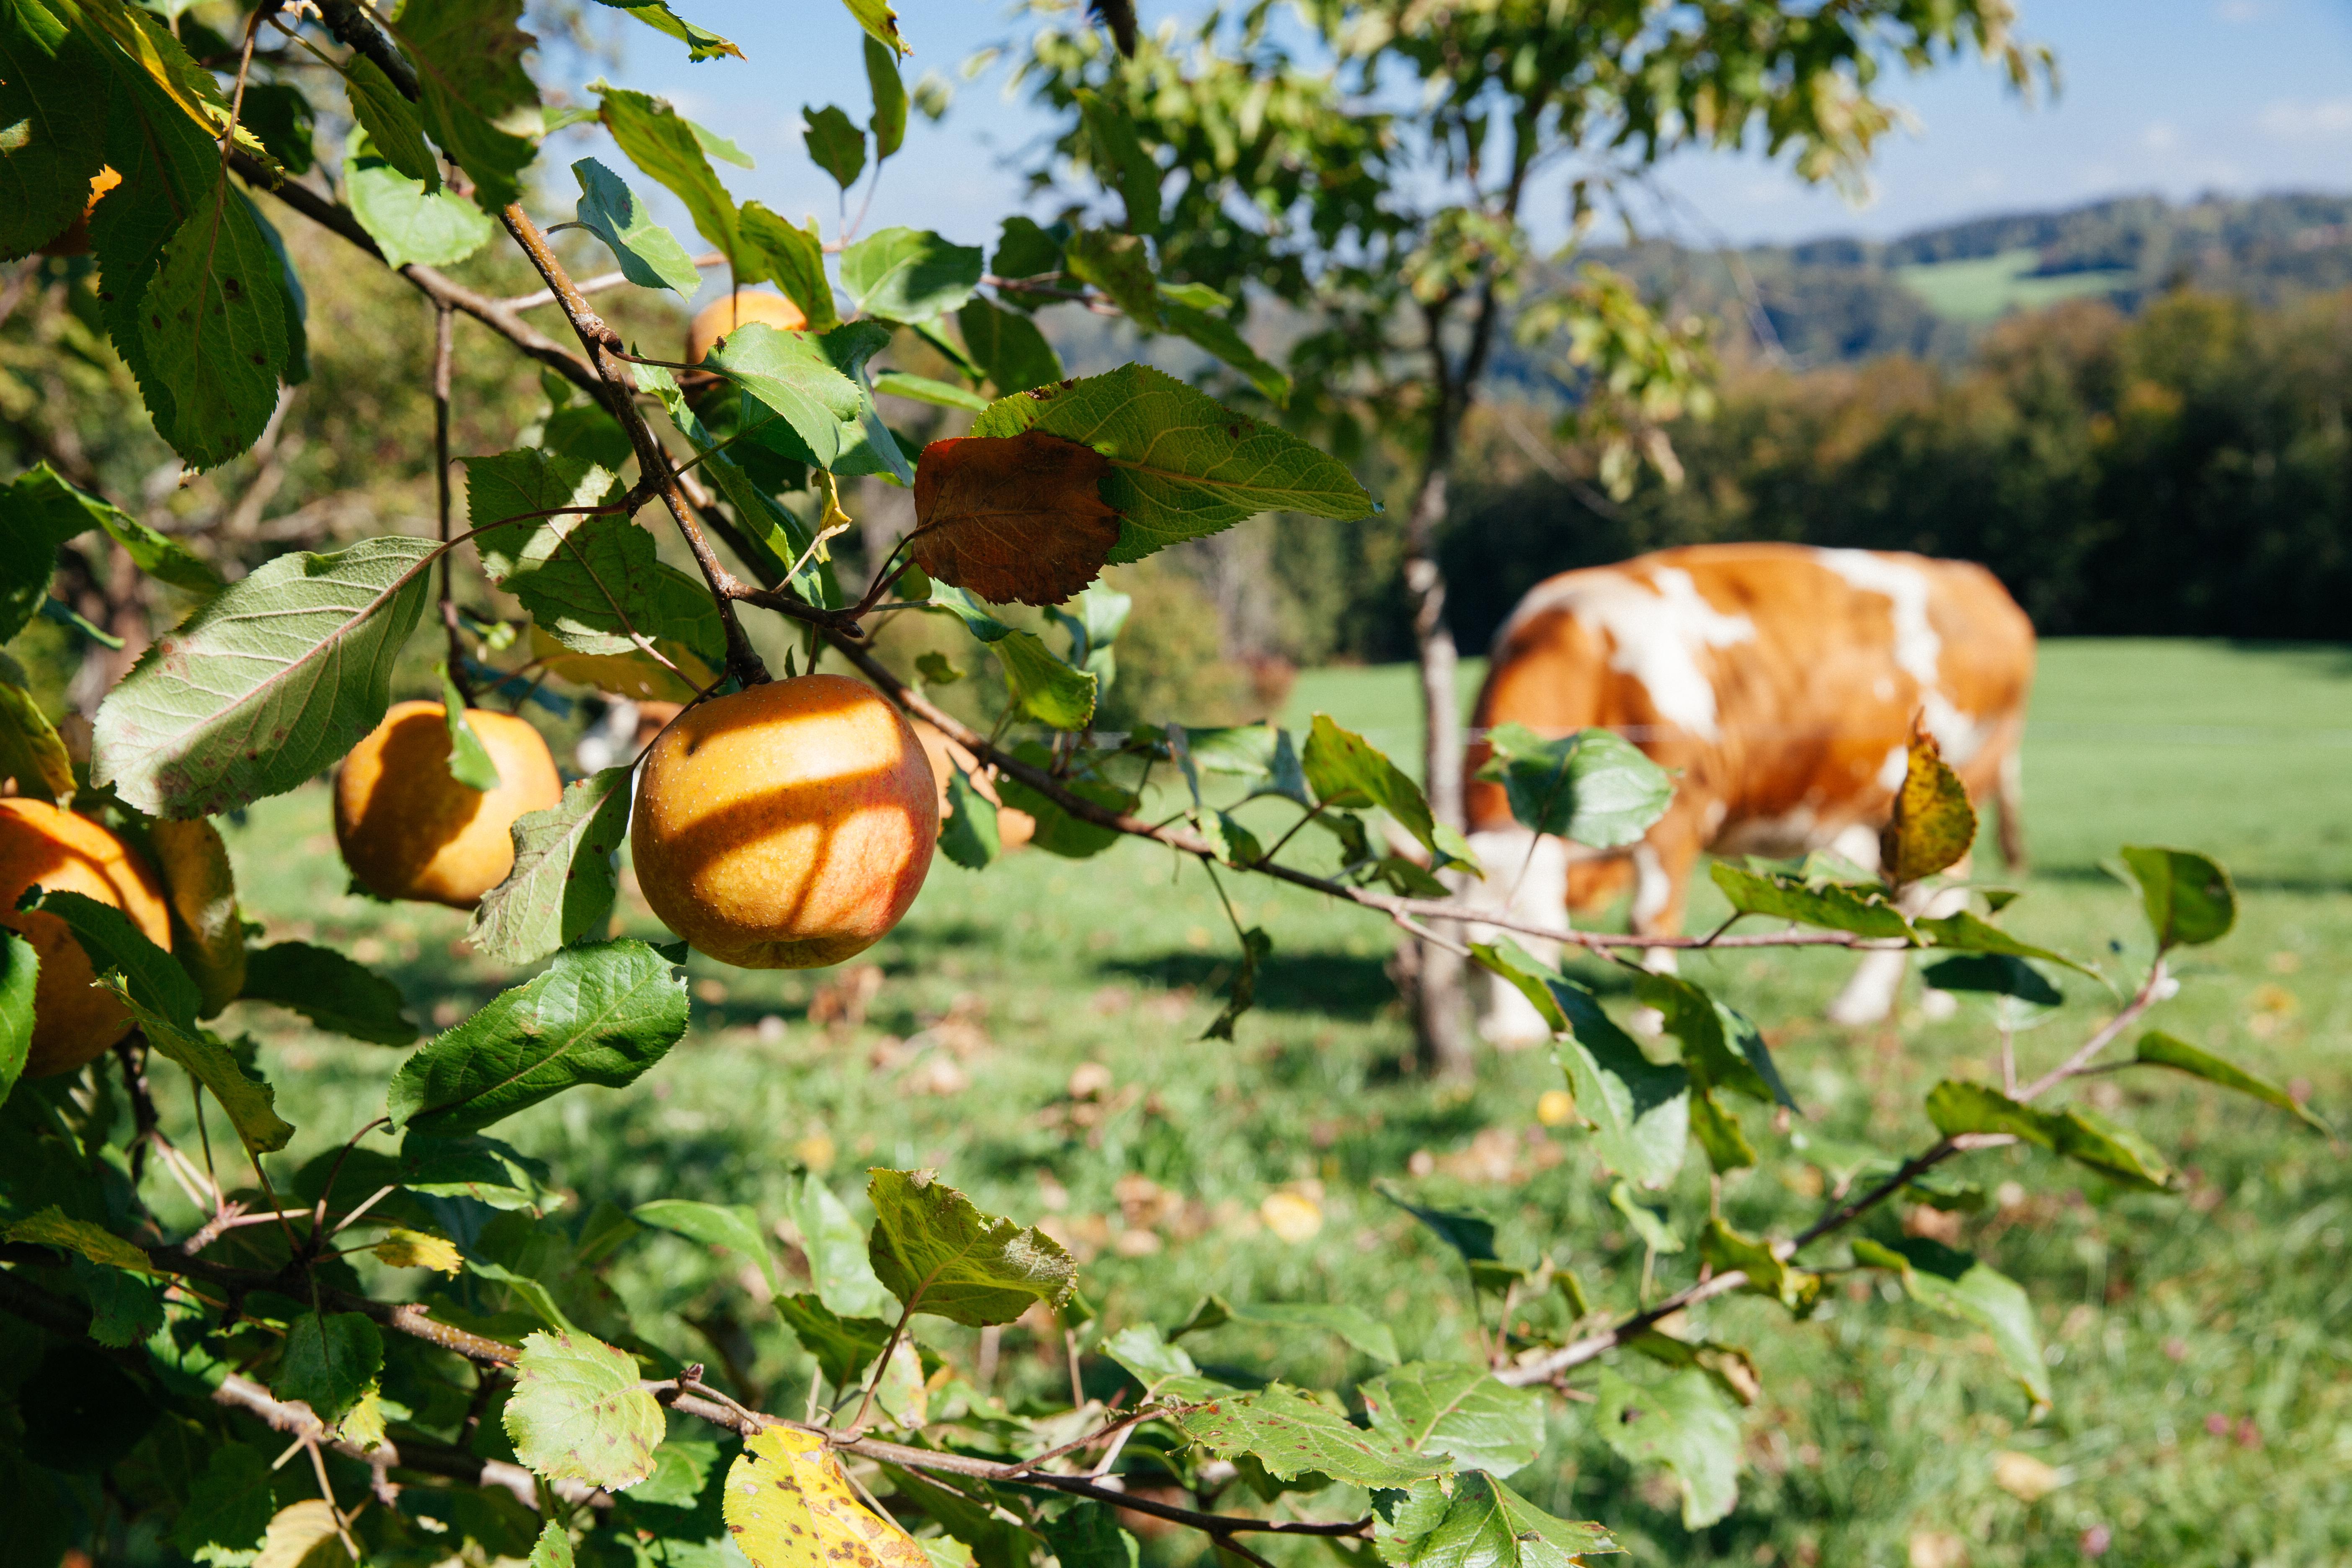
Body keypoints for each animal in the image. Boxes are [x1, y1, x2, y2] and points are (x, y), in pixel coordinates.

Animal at [1458, 542, 2034, 1037]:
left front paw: (1650, 1015)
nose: (1508, 1041)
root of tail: (1973, 578)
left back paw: (1918, 1002)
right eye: (1472, 954)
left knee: (1933, 896)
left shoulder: (1677, 815)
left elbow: (1650, 917)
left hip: (1957, 784)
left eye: (1545, 939)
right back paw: (1865, 1004)